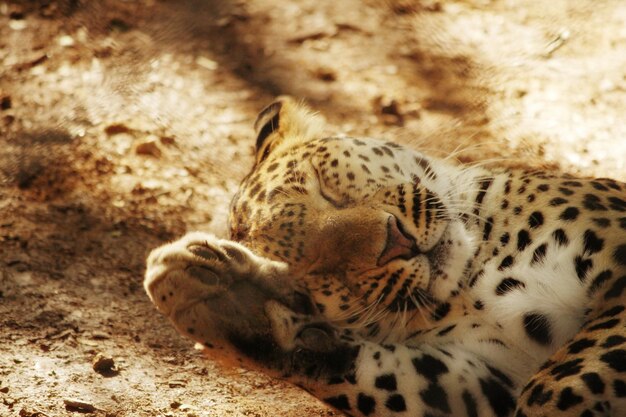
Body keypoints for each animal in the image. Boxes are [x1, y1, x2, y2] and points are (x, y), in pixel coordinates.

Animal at [143, 97, 624, 416]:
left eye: (324, 187)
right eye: (313, 270)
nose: (395, 242)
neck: (471, 282)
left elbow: (561, 381)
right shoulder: (487, 377)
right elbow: (364, 374)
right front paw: (226, 302)